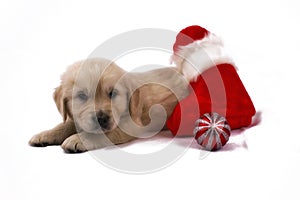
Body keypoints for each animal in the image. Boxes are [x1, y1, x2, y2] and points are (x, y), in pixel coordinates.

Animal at [28, 57, 188, 153]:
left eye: (112, 94)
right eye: (82, 96)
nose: (101, 118)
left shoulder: (131, 124)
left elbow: (104, 133)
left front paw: (78, 139)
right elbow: (64, 125)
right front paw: (45, 134)